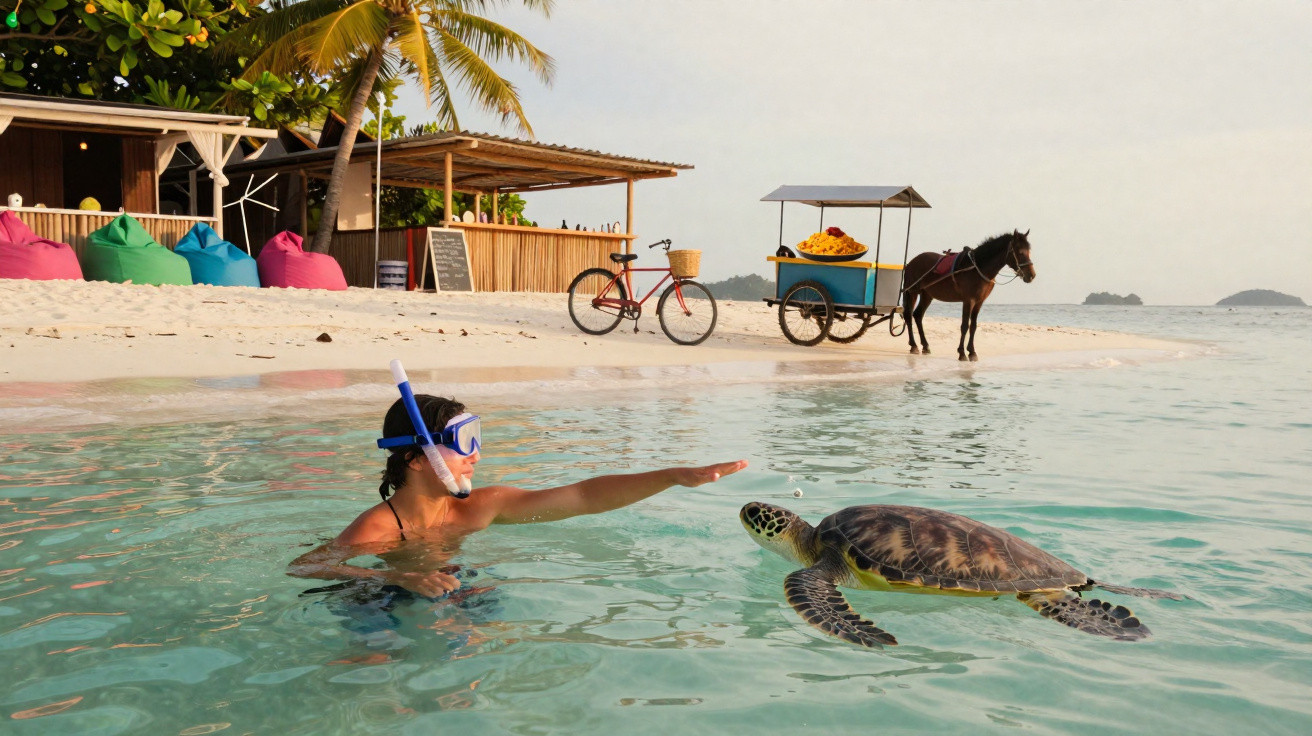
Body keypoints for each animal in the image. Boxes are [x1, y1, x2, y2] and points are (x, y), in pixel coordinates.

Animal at [901, 229, 1036, 361]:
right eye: (1020, 252)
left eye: (1029, 251)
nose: (1031, 275)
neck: (977, 268)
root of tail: (910, 263)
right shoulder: (968, 300)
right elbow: (965, 326)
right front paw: (961, 353)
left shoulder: (979, 302)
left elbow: (973, 326)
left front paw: (972, 352)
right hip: (912, 292)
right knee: (908, 315)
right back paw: (914, 345)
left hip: (927, 295)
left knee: (918, 315)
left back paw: (925, 346)